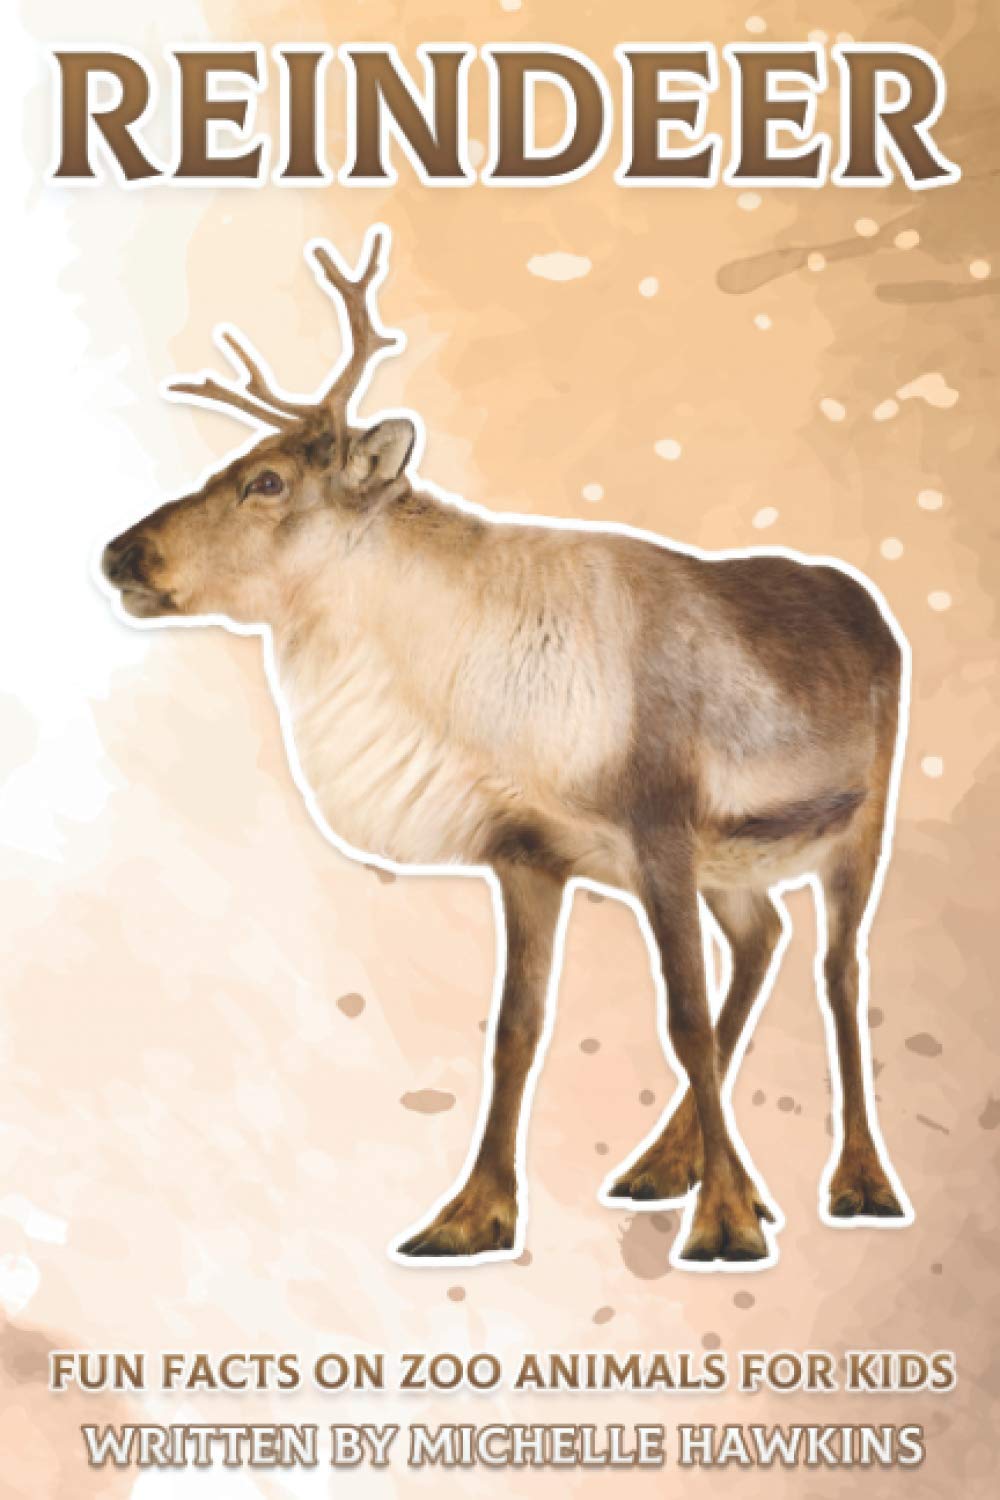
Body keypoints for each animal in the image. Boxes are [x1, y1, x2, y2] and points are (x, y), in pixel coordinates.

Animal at [101, 225, 911, 1268]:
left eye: (267, 481)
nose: (119, 555)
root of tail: (874, 610)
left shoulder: (660, 828)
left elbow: (683, 1017)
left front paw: (725, 1221)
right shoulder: (530, 854)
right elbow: (516, 1029)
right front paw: (469, 1214)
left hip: (857, 825)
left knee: (840, 972)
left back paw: (857, 1181)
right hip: (738, 865)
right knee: (765, 938)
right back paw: (666, 1164)